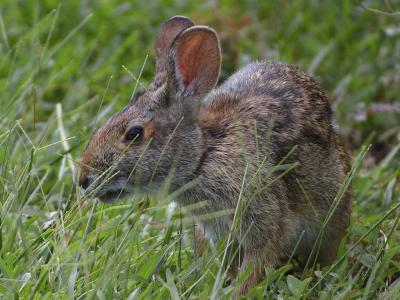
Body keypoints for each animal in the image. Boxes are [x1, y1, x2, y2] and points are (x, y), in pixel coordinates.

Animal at [77, 15, 350, 294]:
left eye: (134, 134)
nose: (82, 179)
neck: (204, 156)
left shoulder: (265, 218)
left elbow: (257, 262)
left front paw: (239, 293)